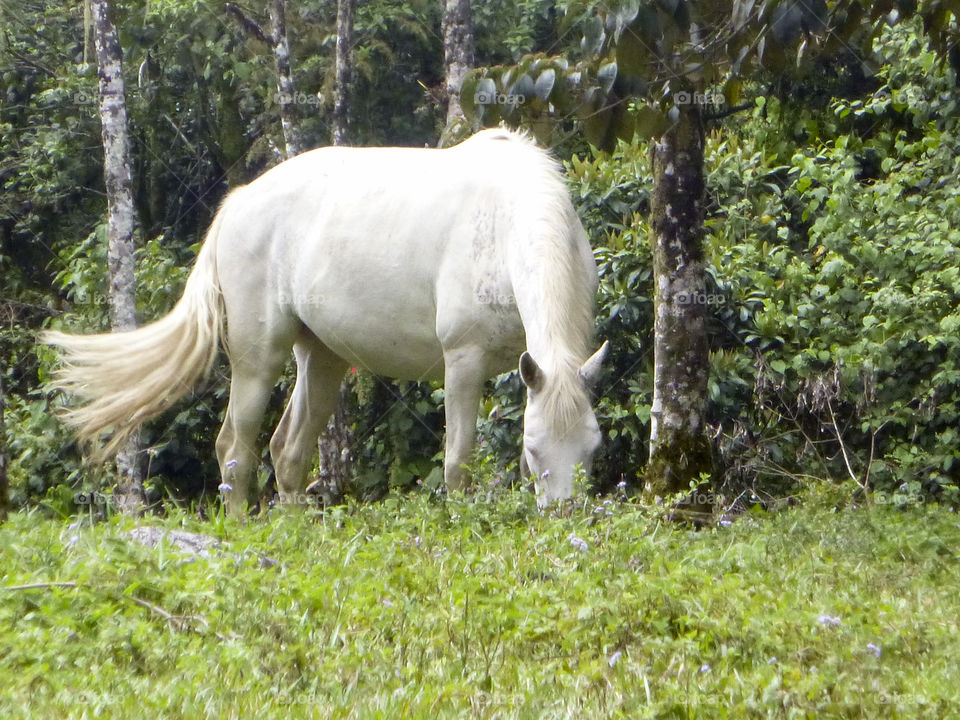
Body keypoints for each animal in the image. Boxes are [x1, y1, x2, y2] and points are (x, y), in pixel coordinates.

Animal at [43, 128, 608, 512]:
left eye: (592, 447)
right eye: (536, 449)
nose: (565, 520)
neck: (502, 222)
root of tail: (237, 203)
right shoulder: (463, 362)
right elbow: (457, 459)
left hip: (322, 357)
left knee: (288, 451)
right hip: (258, 361)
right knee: (235, 448)